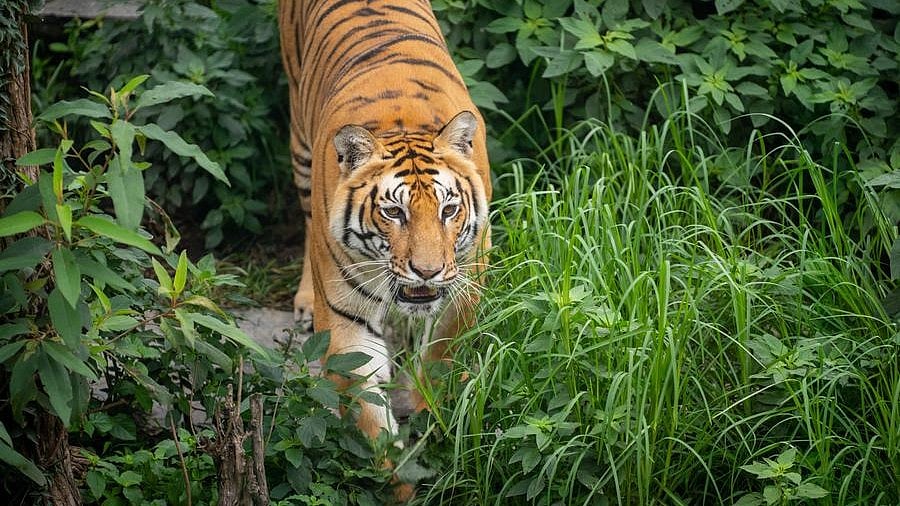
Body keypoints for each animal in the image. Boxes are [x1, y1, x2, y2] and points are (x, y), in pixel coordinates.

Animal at [277, 0, 491, 480]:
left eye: (449, 210)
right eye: (394, 212)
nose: (427, 271)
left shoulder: (463, 291)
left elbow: (440, 362)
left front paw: (429, 418)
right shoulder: (346, 320)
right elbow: (370, 417)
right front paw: (397, 478)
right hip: (298, 143)